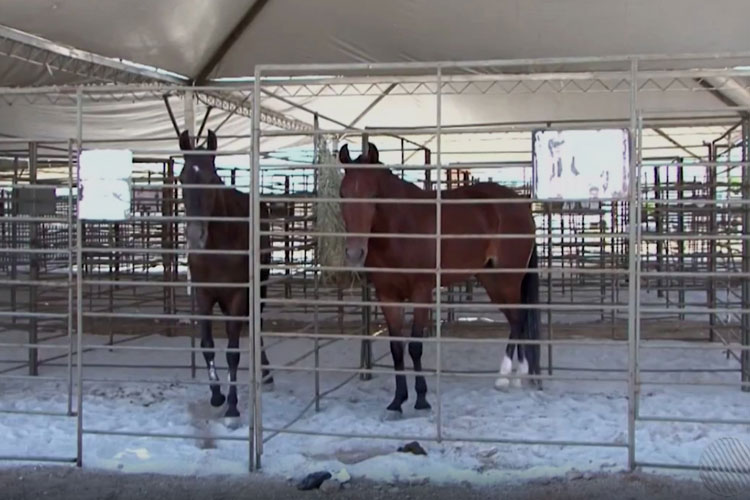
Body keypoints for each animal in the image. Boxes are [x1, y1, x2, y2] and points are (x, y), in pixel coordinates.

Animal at [178, 130, 274, 418]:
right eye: (182, 178)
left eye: (212, 179)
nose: (195, 236)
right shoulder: (204, 294)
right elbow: (207, 345)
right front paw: (216, 394)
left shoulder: (237, 295)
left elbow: (232, 351)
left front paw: (232, 405)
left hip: (260, 286)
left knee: (256, 325)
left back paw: (266, 373)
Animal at [340, 144, 540, 414]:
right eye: (342, 194)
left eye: (373, 195)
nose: (354, 253)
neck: (400, 230)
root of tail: (520, 206)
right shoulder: (387, 295)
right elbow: (396, 348)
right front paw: (398, 400)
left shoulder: (422, 291)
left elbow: (415, 346)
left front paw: (421, 399)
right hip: (491, 280)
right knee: (516, 319)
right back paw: (518, 375)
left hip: (507, 279)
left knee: (518, 319)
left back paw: (505, 376)